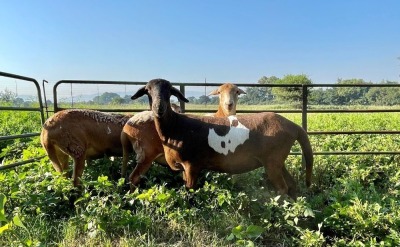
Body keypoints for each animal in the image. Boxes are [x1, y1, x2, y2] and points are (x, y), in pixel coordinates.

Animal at [130, 79, 312, 199]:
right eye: (148, 90)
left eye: (169, 91)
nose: (158, 108)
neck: (176, 125)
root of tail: (294, 126)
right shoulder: (183, 167)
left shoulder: (192, 165)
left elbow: (190, 190)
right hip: (278, 160)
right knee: (291, 185)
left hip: (273, 160)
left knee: (282, 188)